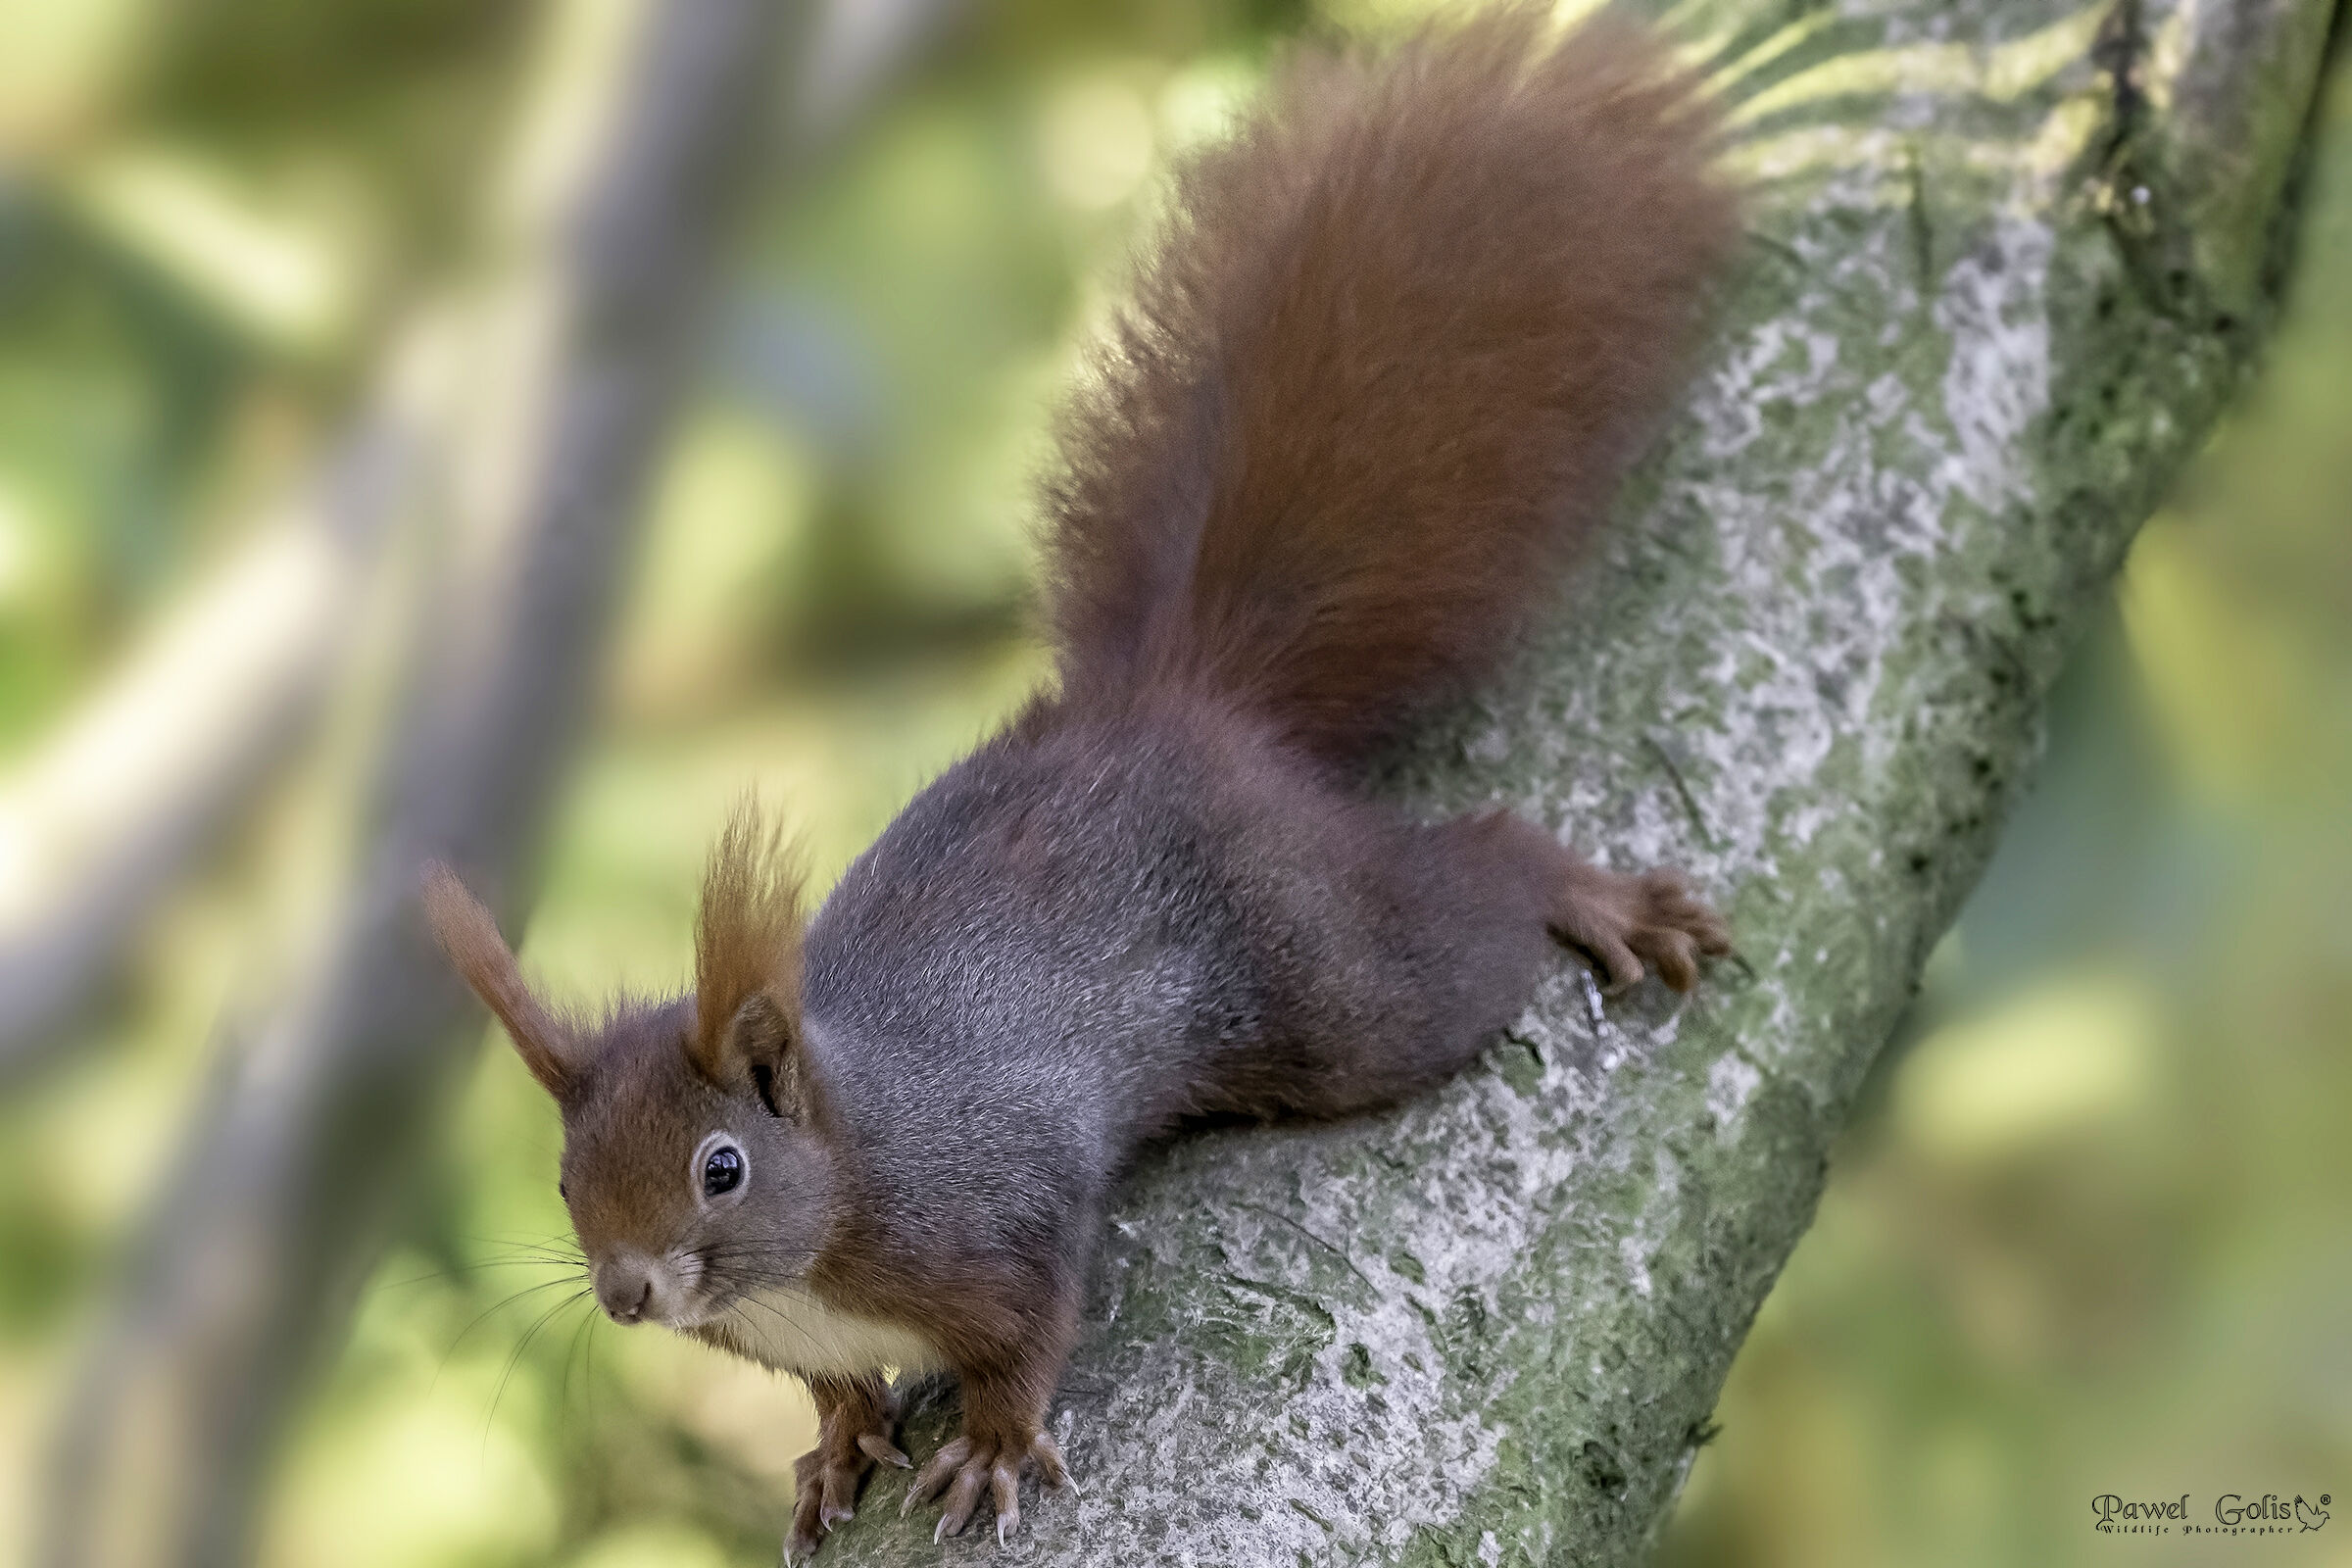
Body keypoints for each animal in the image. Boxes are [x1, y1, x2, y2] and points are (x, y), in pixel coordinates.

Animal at [424, 6, 1736, 1559]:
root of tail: (1179, 704)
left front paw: (990, 1446)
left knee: (1466, 899)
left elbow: (1030, 1333)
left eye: (719, 1167)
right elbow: (836, 1393)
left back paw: (1589, 896)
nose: (627, 1290)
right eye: (567, 1175)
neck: (834, 1200)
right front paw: (837, 1447)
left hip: (1332, 975)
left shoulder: (1003, 1216)